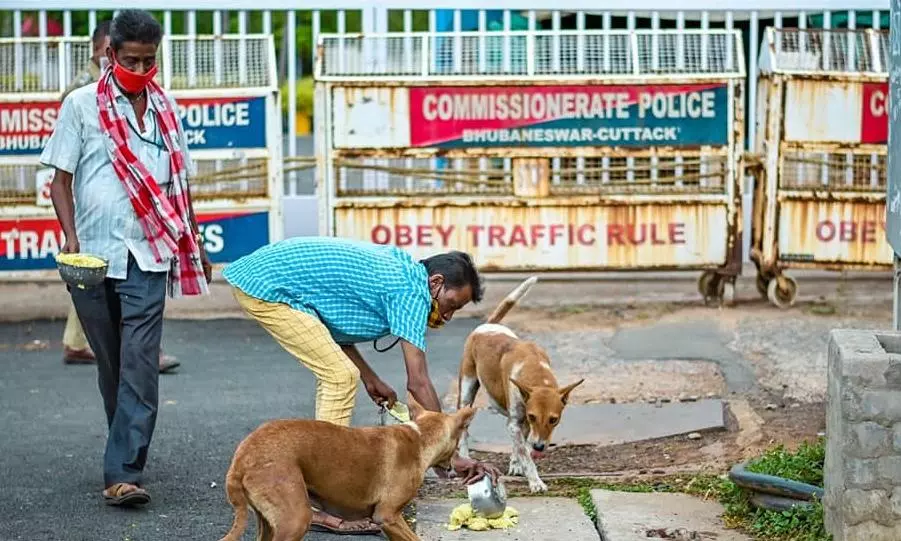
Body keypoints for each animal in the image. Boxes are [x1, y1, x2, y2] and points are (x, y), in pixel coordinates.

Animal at [219, 392, 478, 540]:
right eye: (456, 444)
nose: (457, 466)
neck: (420, 436)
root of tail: (242, 457)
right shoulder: (388, 517)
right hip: (295, 519)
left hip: (268, 522)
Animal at [458, 276, 584, 492]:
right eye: (533, 416)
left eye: (554, 419)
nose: (539, 447)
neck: (536, 372)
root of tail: (486, 326)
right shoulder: (519, 422)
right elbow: (525, 453)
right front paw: (535, 481)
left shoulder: (521, 423)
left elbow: (521, 447)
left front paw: (518, 464)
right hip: (467, 390)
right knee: (464, 429)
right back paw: (466, 457)